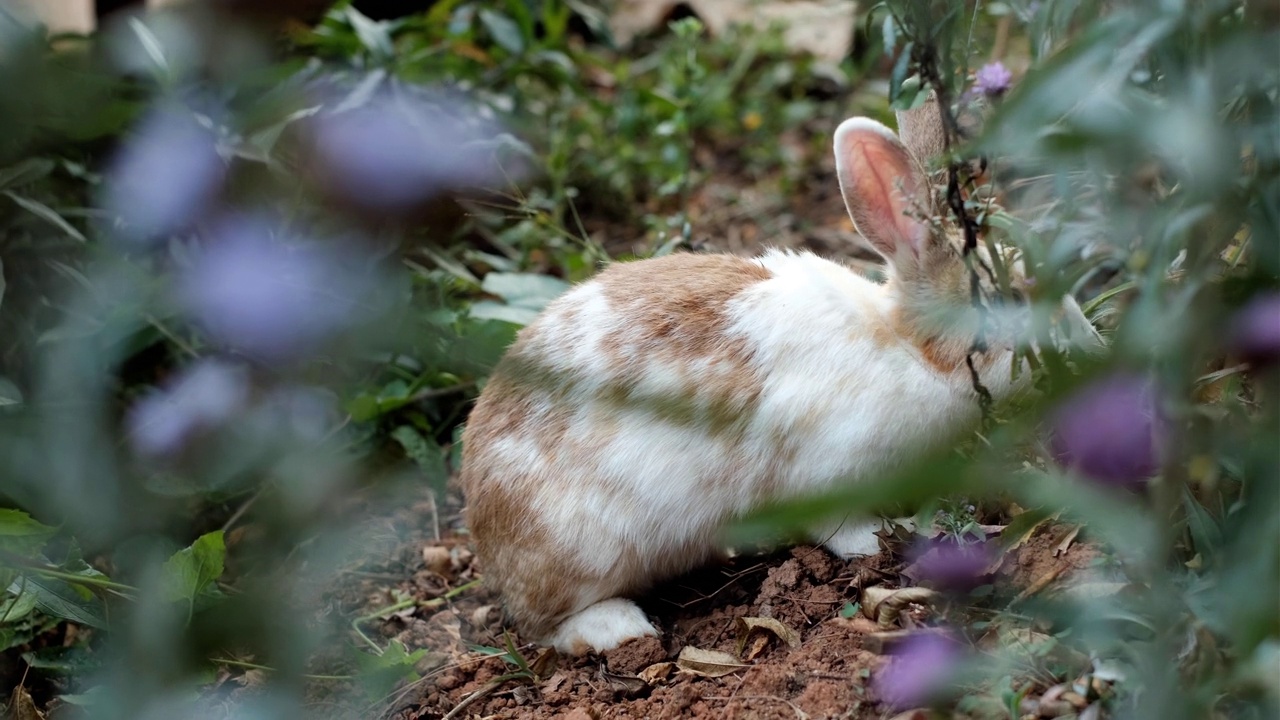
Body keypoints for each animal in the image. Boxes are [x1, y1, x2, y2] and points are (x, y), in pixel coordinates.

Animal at [455, 102, 1095, 655]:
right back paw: (620, 627)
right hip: (582, 552)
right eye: (1011, 299)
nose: (1091, 346)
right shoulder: (828, 476)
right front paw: (899, 536)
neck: (907, 350)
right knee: (550, 625)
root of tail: (485, 527)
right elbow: (846, 530)